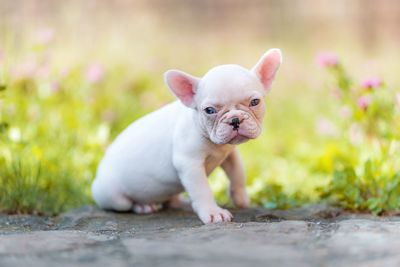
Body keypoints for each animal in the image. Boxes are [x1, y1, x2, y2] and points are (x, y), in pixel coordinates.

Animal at [90, 49, 282, 225]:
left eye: (255, 102)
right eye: (209, 110)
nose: (235, 119)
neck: (212, 141)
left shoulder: (230, 154)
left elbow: (238, 173)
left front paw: (241, 198)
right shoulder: (190, 165)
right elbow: (202, 190)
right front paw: (213, 212)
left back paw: (178, 202)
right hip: (111, 195)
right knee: (126, 204)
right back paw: (143, 206)